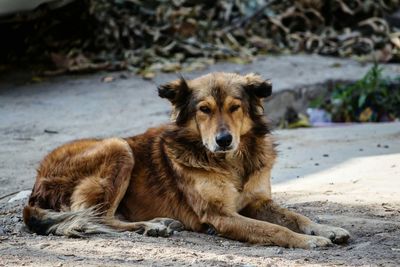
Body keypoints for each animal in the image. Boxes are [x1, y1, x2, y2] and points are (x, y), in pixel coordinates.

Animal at [23, 71, 348, 249]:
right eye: (204, 109)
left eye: (235, 107)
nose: (223, 139)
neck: (230, 162)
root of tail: (35, 186)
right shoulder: (220, 215)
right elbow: (274, 230)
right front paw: (307, 241)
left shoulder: (258, 202)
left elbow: (296, 217)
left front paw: (326, 229)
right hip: (119, 147)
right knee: (96, 217)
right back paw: (153, 226)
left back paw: (157, 222)